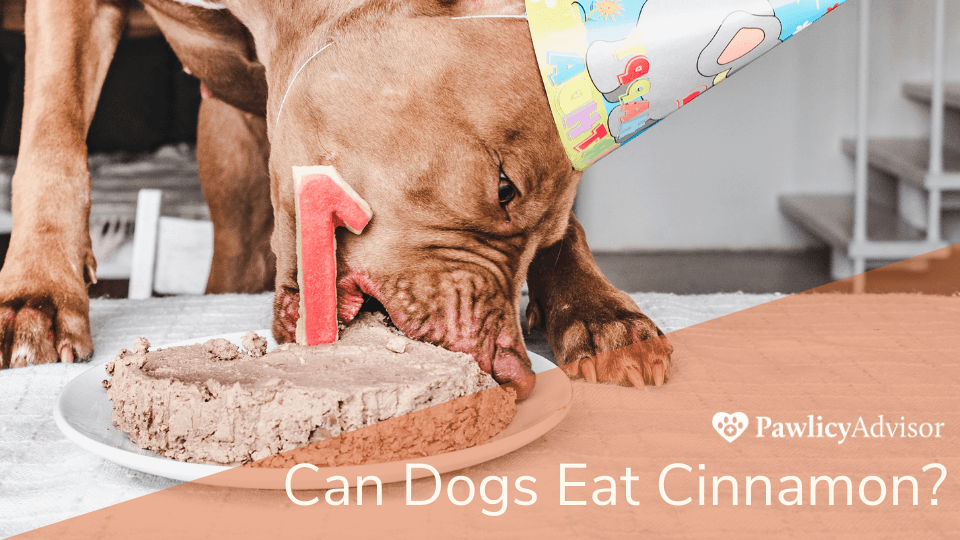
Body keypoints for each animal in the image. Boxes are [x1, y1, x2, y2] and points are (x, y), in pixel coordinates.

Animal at [0, 0, 672, 390]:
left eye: (544, 238)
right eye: (504, 186)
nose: (509, 370)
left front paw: (594, 312)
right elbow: (52, 135)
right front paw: (37, 294)